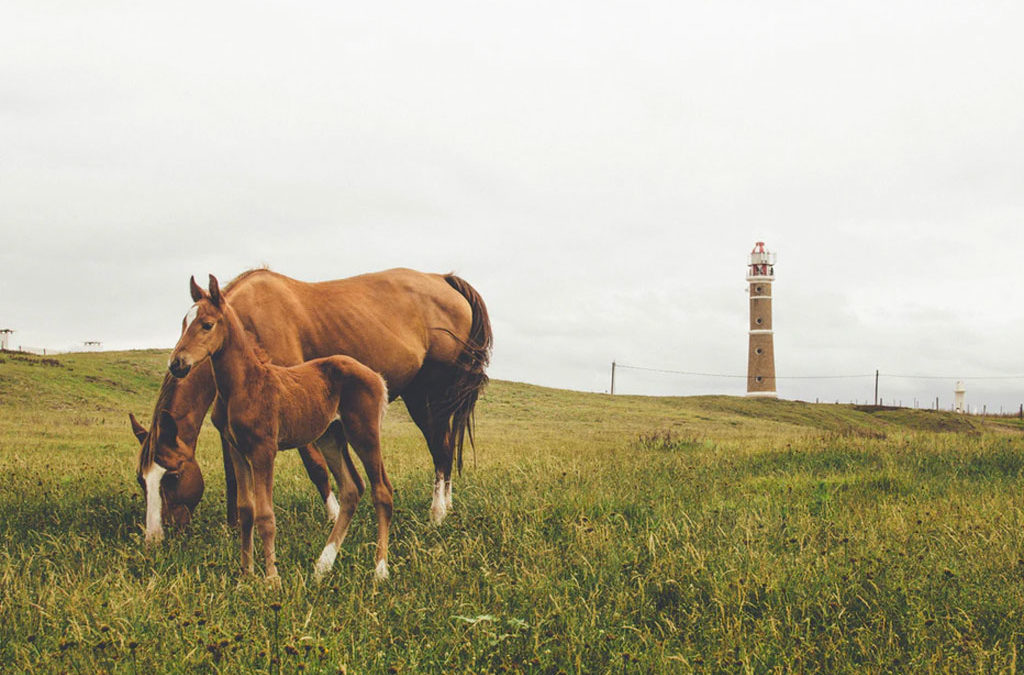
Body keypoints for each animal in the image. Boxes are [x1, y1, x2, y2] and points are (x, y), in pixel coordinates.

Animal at [132, 266, 491, 544]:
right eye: (141, 479)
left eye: (172, 476)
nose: (154, 537)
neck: (247, 322)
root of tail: (443, 280)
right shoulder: (232, 423)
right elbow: (233, 475)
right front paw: (234, 525)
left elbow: (315, 467)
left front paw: (335, 517)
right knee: (445, 447)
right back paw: (447, 505)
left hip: (429, 396)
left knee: (440, 449)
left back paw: (437, 514)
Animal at [167, 274, 391, 581]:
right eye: (183, 322)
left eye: (207, 324)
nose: (177, 364)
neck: (243, 385)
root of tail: (377, 377)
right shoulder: (238, 450)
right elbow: (246, 510)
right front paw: (245, 576)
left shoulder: (264, 451)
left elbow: (265, 515)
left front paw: (272, 578)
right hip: (330, 437)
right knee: (351, 489)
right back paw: (321, 567)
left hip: (364, 433)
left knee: (381, 491)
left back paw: (379, 570)